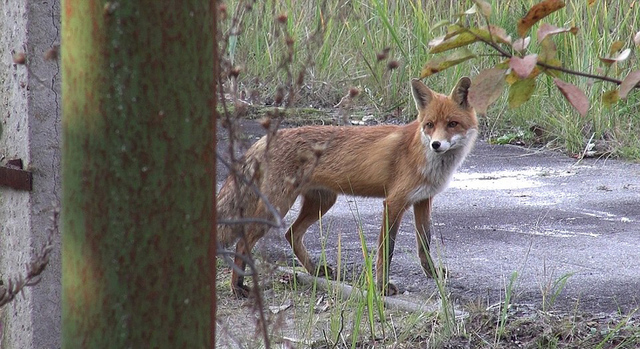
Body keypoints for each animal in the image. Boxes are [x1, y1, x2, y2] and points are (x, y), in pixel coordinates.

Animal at [218, 78, 478, 296]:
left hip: (321, 203)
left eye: (452, 124)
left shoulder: (423, 200)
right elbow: (387, 250)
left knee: (291, 233)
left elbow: (425, 243)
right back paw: (237, 285)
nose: (436, 145)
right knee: (245, 238)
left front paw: (432, 274)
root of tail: (266, 138)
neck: (423, 156)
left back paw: (315, 270)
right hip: (278, 206)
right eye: (430, 125)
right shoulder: (394, 202)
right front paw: (382, 287)